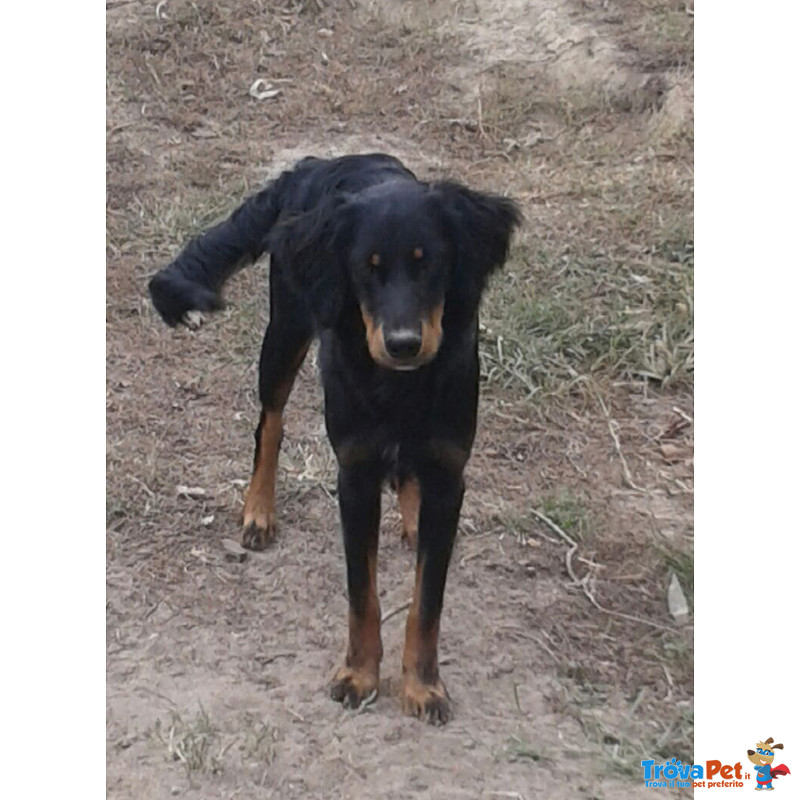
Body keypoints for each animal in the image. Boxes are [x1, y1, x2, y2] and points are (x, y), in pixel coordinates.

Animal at [149, 155, 520, 724]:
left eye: (429, 263)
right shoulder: (355, 474)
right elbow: (361, 592)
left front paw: (423, 686)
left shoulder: (448, 474)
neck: (399, 382)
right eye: (366, 267)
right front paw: (359, 676)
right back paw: (259, 511)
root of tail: (314, 163)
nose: (403, 344)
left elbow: (427, 602)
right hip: (285, 330)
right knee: (270, 422)